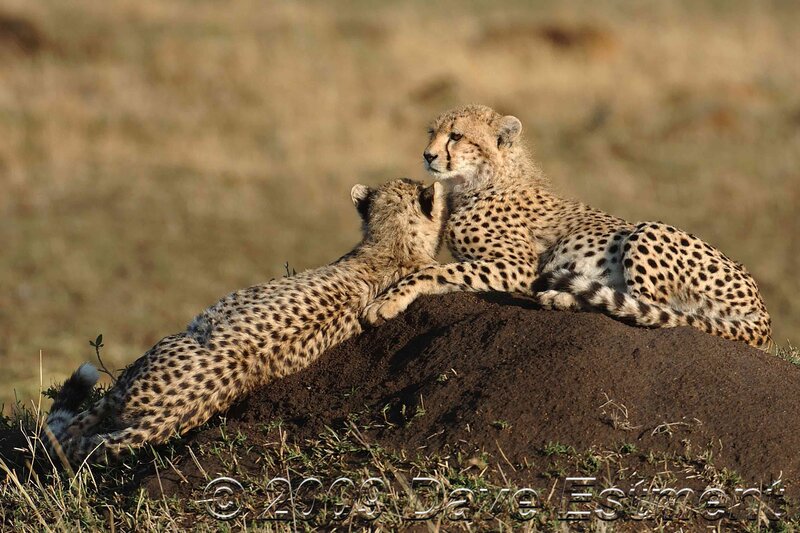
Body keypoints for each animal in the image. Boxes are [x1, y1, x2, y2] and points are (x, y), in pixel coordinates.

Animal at [363, 104, 772, 349]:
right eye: (431, 133)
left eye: (457, 136)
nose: (428, 155)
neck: (483, 181)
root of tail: (763, 314)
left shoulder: (518, 267)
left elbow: (435, 272)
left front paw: (385, 303)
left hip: (648, 230)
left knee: (649, 311)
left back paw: (563, 296)